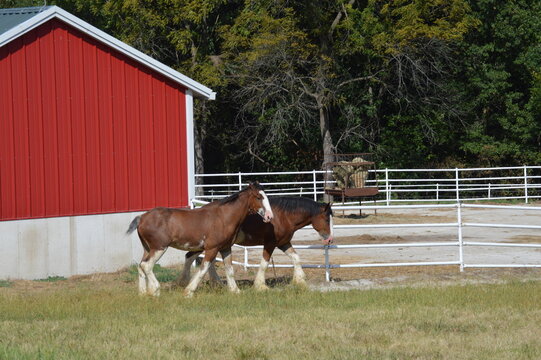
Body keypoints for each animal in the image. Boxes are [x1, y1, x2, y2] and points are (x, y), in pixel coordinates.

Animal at [124, 183, 272, 298]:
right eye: (258, 197)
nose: (269, 216)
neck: (223, 217)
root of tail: (142, 218)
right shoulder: (212, 248)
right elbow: (203, 269)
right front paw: (189, 292)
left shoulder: (225, 248)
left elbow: (229, 270)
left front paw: (235, 291)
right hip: (159, 248)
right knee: (146, 265)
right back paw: (155, 290)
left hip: (148, 248)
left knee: (140, 266)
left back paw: (143, 293)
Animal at [180, 197, 334, 290]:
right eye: (327, 219)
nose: (330, 239)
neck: (283, 217)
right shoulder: (270, 244)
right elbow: (265, 263)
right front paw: (260, 285)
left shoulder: (283, 243)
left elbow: (296, 258)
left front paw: (300, 280)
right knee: (195, 257)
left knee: (194, 257)